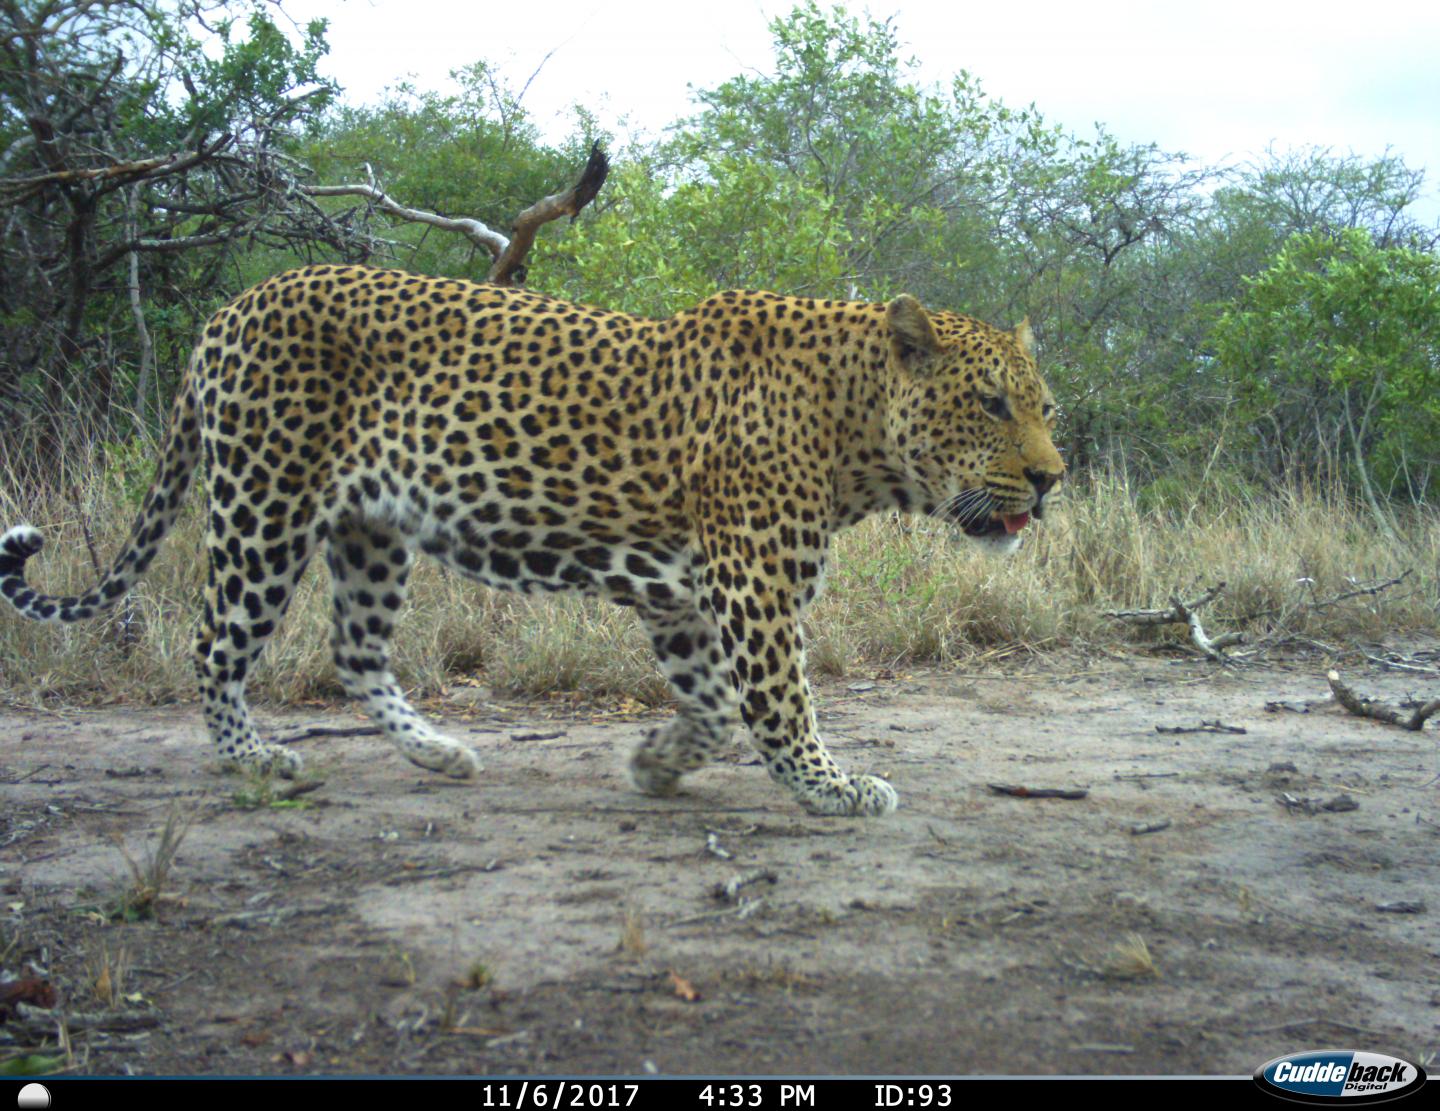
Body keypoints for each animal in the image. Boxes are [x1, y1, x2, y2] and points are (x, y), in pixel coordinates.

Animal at [0, 261, 1059, 817]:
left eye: (1043, 407)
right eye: (989, 404)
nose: (1051, 481)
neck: (854, 424)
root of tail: (228, 311)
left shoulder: (681, 594)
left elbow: (716, 706)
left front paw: (655, 763)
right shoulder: (751, 583)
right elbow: (778, 700)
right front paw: (832, 787)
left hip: (372, 529)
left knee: (355, 651)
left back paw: (440, 755)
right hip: (266, 504)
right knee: (215, 643)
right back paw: (256, 762)